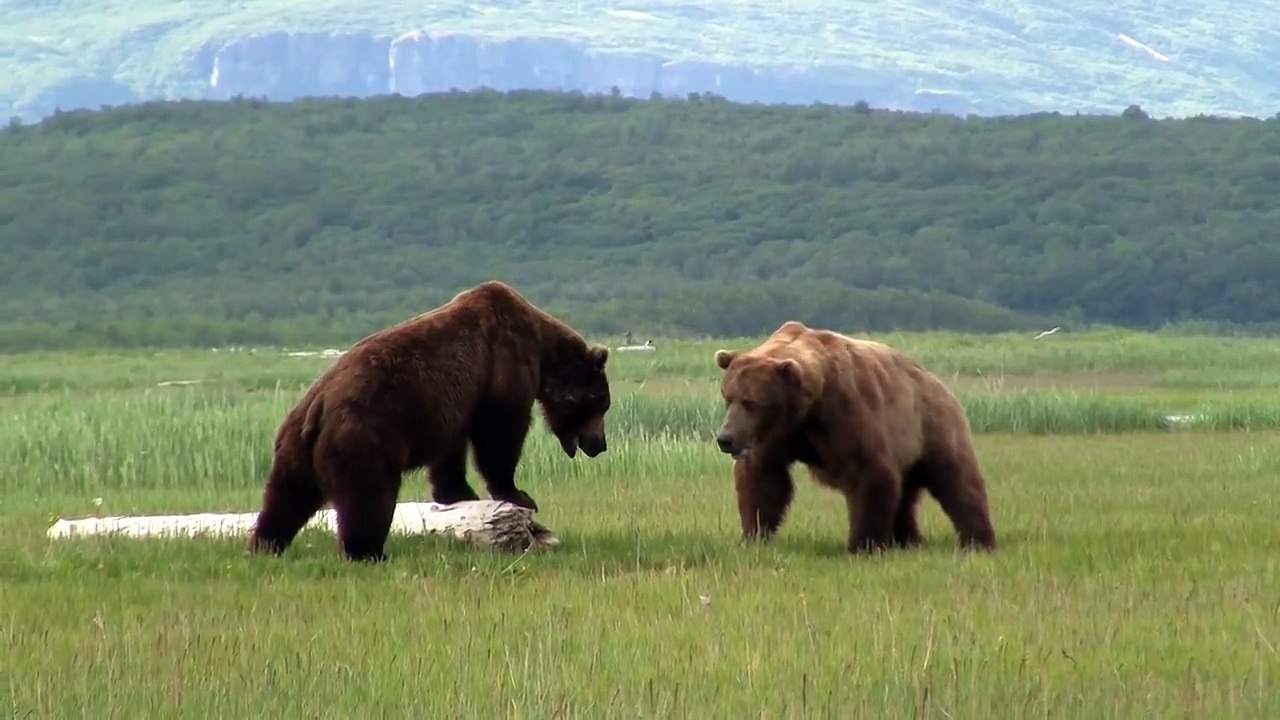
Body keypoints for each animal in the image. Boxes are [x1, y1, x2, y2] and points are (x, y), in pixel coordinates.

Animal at [247, 280, 612, 562]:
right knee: (368, 496)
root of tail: (319, 405)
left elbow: (451, 451)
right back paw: (369, 552)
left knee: (286, 495)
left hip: (295, 443)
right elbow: (500, 435)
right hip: (364, 434)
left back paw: (265, 543)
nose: (600, 444)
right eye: (601, 403)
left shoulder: (453, 406)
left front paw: (459, 493)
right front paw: (519, 494)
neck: (541, 349)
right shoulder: (504, 367)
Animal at [712, 320, 996, 554]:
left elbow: (868, 473)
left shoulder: (846, 413)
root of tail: (935, 380)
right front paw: (754, 536)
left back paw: (978, 540)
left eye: (751, 402)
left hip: (932, 427)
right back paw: (908, 540)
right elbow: (763, 479)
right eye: (728, 397)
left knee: (957, 480)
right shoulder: (776, 436)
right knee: (905, 494)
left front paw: (862, 545)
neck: (807, 410)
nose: (726, 438)